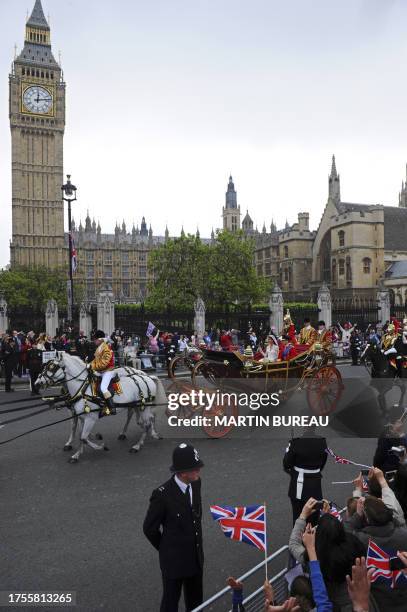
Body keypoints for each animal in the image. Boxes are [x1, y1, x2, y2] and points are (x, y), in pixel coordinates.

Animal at [35, 352, 167, 462]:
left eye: (52, 367)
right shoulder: (80, 416)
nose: (37, 383)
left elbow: (83, 437)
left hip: (144, 407)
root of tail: (147, 376)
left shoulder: (90, 418)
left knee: (147, 422)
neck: (83, 389)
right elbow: (80, 434)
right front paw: (77, 453)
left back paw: (138, 445)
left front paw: (101, 446)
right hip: (136, 405)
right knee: (142, 419)